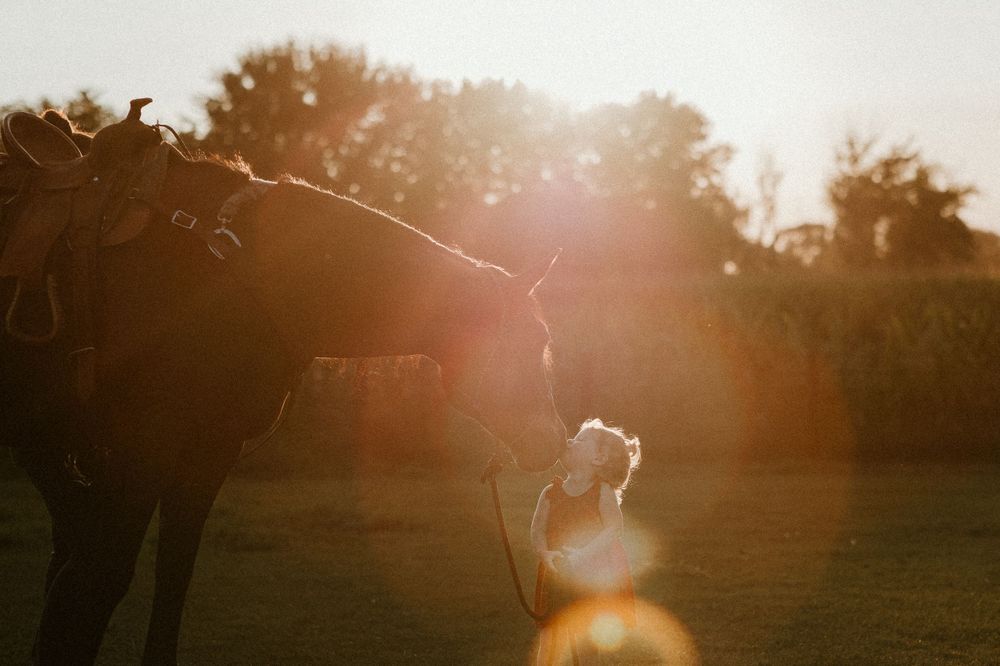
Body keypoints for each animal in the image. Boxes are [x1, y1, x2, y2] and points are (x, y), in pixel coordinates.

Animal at [1, 100, 567, 665]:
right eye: (532, 339)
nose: (554, 441)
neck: (230, 272)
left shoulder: (209, 450)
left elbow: (171, 575)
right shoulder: (144, 446)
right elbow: (100, 580)